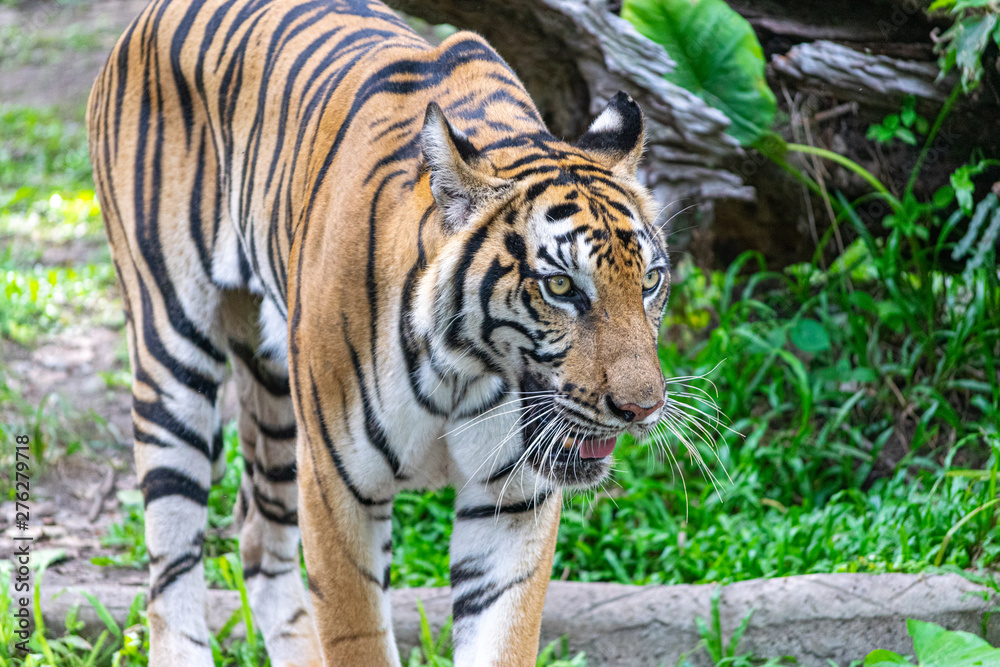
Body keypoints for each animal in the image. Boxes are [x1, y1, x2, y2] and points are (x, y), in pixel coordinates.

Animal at [87, 0, 670, 663]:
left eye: (650, 281)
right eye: (562, 287)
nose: (642, 409)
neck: (464, 370)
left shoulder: (514, 503)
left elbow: (503, 637)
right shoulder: (337, 487)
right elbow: (356, 631)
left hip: (275, 384)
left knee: (258, 534)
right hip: (171, 349)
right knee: (171, 556)